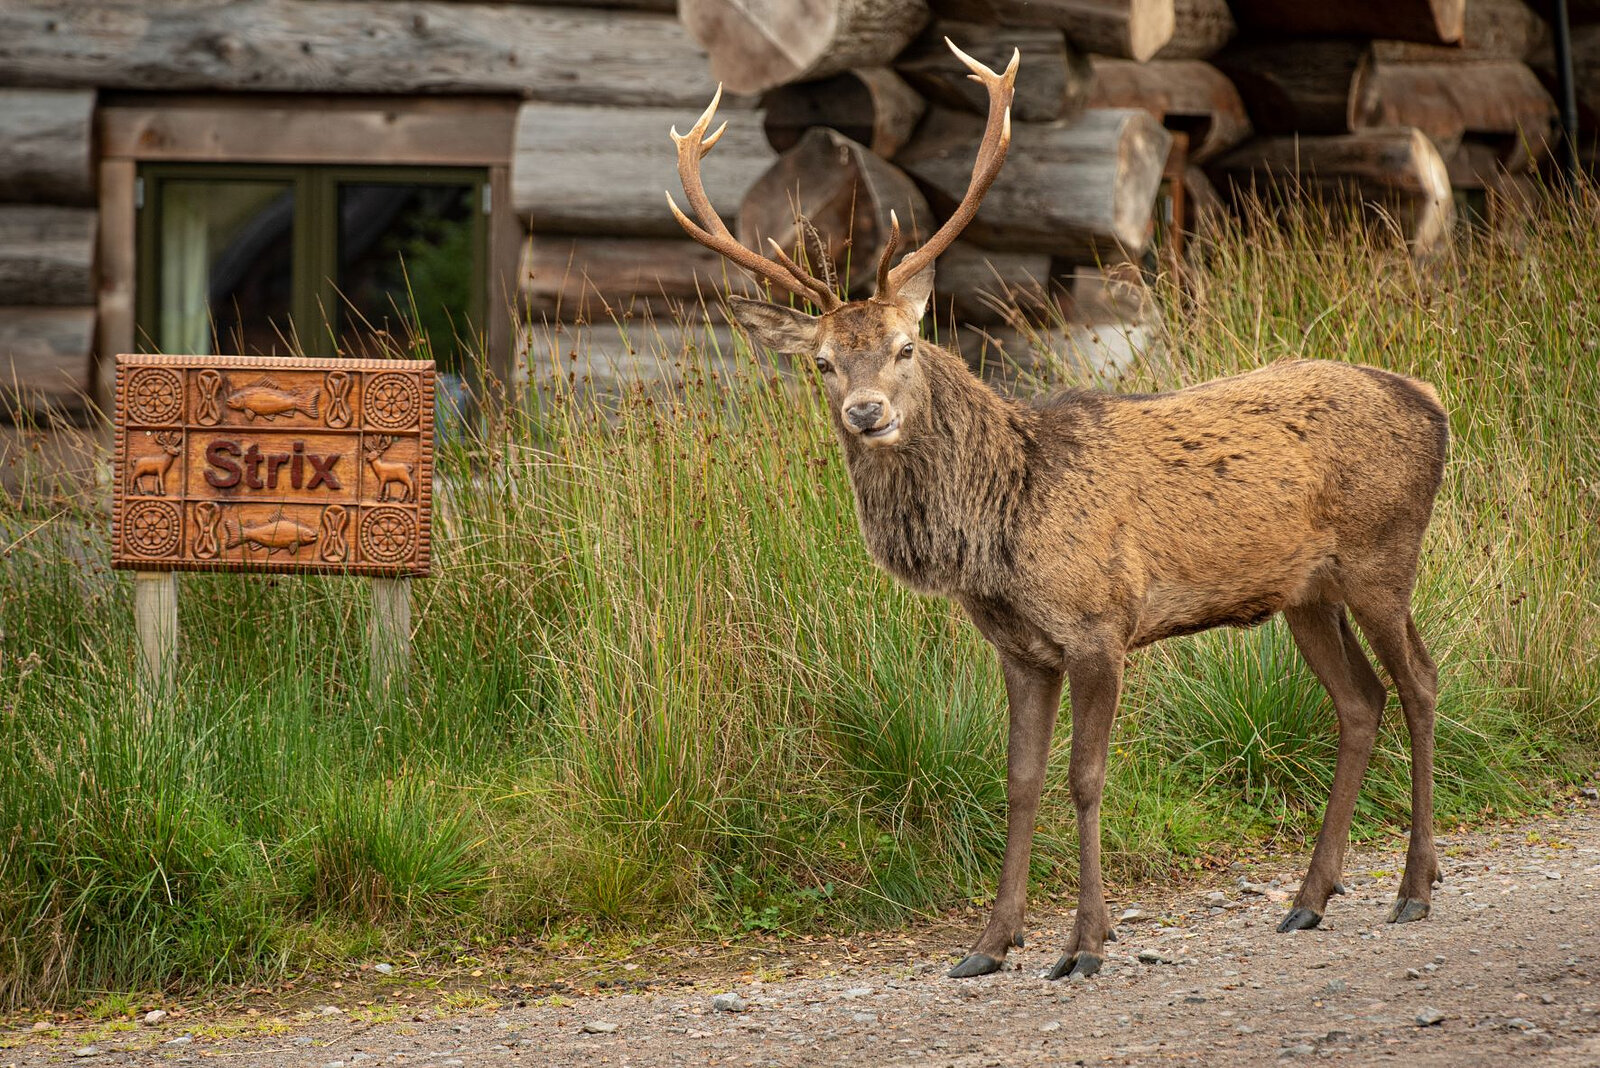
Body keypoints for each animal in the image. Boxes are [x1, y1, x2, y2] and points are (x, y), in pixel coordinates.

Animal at [666, 39, 1450, 982]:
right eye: (821, 362)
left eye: (905, 346)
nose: (867, 413)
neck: (1002, 526)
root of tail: (1434, 404)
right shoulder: (1020, 649)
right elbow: (1019, 780)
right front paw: (988, 944)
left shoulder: (1100, 624)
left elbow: (1087, 777)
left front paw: (1084, 944)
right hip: (1307, 593)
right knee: (1360, 702)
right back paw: (1309, 899)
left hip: (1383, 557)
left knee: (1420, 682)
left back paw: (1415, 887)